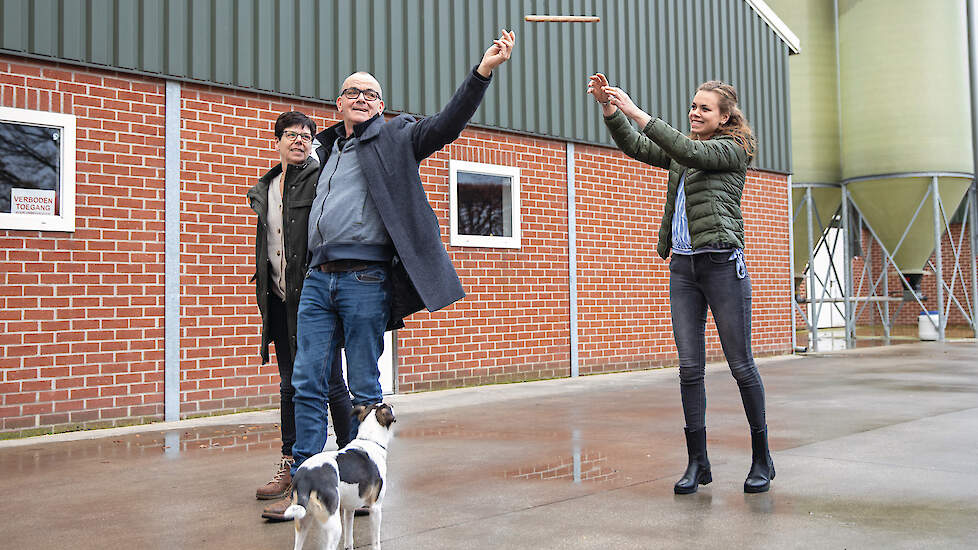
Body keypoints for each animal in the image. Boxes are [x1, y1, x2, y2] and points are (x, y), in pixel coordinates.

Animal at [282, 404, 392, 548]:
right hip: (333, 526)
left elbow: (349, 540)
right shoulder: (375, 508)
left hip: (303, 522)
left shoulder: (349, 509)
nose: (392, 405)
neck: (369, 440)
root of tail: (306, 478)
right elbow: (376, 542)